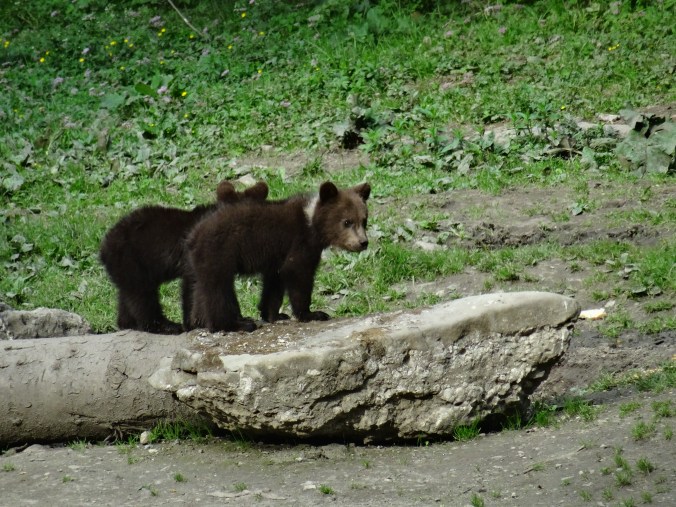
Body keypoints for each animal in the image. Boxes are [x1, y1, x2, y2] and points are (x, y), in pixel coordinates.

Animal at [99, 180, 268, 334]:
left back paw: (127, 323)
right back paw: (166, 326)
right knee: (142, 297)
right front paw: (198, 323)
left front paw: (241, 317)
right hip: (132, 261)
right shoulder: (196, 257)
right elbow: (196, 287)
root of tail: (103, 247)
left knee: (126, 296)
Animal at [187, 181, 371, 333]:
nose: (363, 242)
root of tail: (194, 235)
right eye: (347, 222)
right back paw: (236, 324)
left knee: (201, 288)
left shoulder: (277, 256)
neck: (312, 224)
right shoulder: (300, 242)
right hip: (219, 252)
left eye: (364, 220)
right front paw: (312, 314)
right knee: (218, 288)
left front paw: (274, 314)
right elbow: (297, 273)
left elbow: (274, 282)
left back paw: (201, 321)